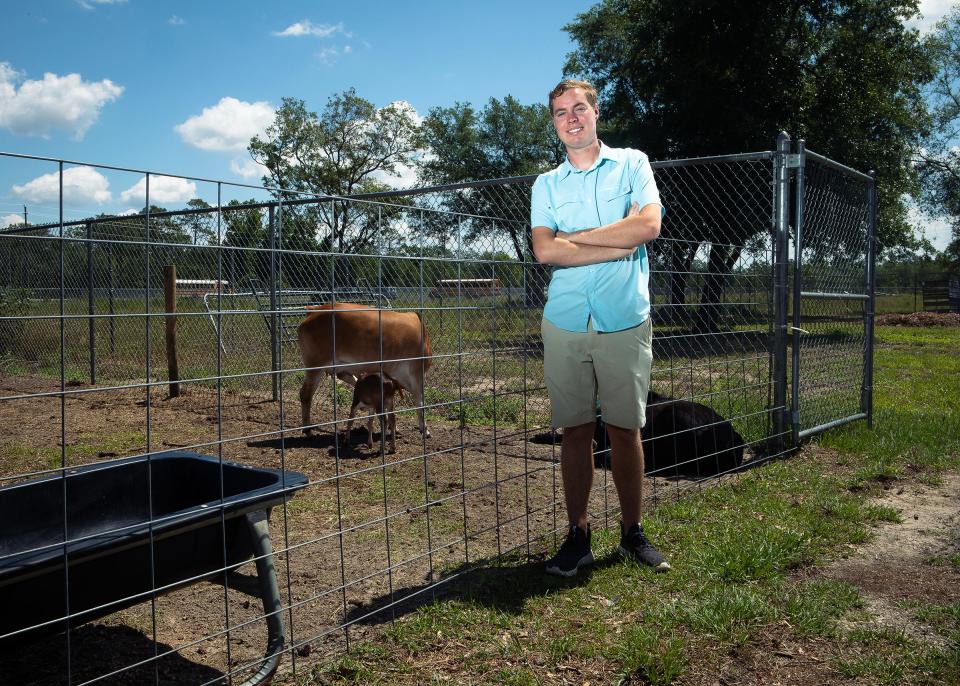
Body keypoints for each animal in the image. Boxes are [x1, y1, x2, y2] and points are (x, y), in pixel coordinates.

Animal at [296, 304, 432, 438]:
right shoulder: (417, 373)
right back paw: (307, 428)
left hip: (339, 368)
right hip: (315, 366)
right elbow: (420, 402)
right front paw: (424, 429)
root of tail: (315, 310)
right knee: (305, 394)